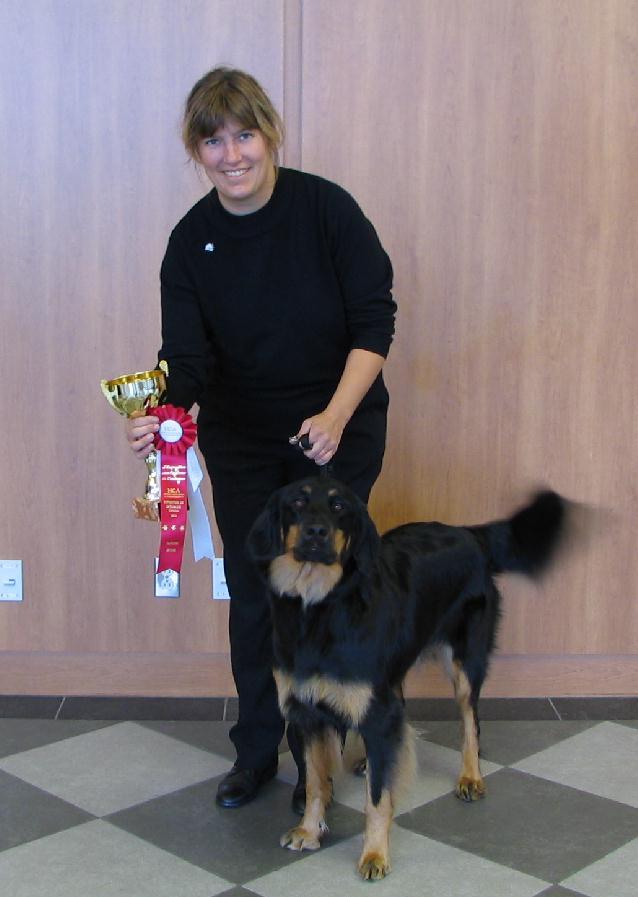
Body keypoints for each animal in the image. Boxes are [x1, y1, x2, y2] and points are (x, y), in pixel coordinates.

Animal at [247, 475, 567, 880]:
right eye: (298, 503)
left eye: (338, 507)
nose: (316, 532)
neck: (318, 606)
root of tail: (468, 534)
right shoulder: (307, 712)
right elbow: (317, 782)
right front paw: (309, 830)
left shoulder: (373, 708)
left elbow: (377, 797)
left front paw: (374, 855)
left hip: (464, 660)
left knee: (470, 720)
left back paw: (471, 776)